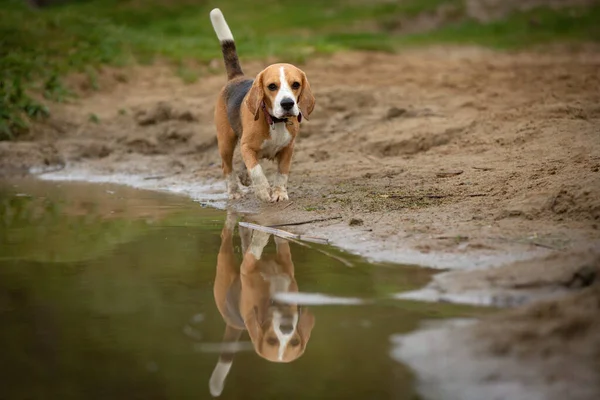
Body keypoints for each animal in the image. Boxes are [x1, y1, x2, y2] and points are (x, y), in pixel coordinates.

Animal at [210, 8, 316, 203]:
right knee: (227, 167)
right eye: (272, 86)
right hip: (225, 141)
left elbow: (282, 174)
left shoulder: (288, 149)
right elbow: (257, 170)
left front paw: (279, 192)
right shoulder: (247, 147)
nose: (287, 103)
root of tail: (237, 77)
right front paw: (263, 190)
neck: (275, 121)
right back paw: (234, 190)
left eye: (296, 84)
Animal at [210, 214, 316, 396]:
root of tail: (235, 323)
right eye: (271, 341)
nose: (286, 328)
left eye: (295, 342)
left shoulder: (285, 261)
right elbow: (256, 246)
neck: (277, 303)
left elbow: (280, 241)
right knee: (227, 234)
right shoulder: (247, 266)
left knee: (244, 237)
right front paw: (262, 234)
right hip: (224, 261)